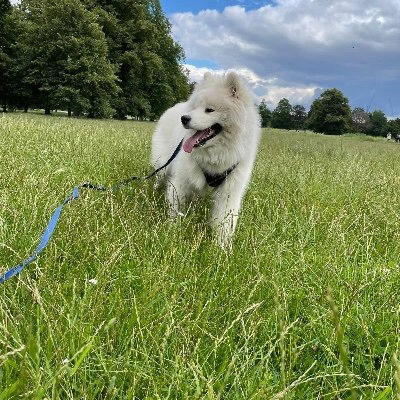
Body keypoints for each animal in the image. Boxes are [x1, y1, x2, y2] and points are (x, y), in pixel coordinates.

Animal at [152, 71, 260, 247]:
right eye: (195, 108)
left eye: (210, 110)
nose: (184, 118)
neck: (215, 156)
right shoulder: (181, 182)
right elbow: (175, 208)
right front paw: (172, 231)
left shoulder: (228, 191)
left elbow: (224, 222)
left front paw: (221, 248)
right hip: (163, 164)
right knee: (158, 178)